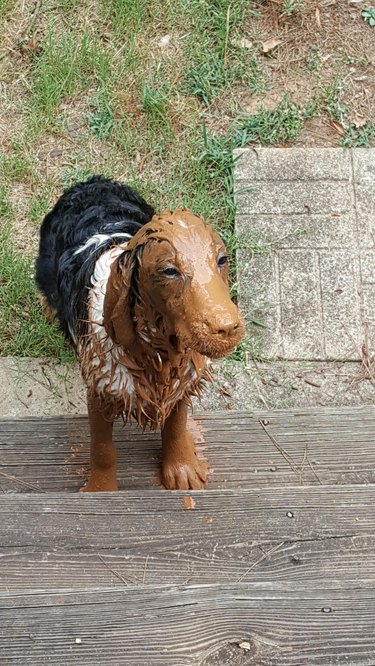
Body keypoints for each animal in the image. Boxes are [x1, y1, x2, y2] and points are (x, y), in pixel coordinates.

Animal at [36, 175, 247, 488]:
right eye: (170, 271)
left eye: (222, 260)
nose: (227, 327)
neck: (156, 351)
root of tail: (90, 182)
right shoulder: (102, 389)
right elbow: (103, 448)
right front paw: (101, 489)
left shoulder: (183, 379)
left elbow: (176, 424)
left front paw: (181, 469)